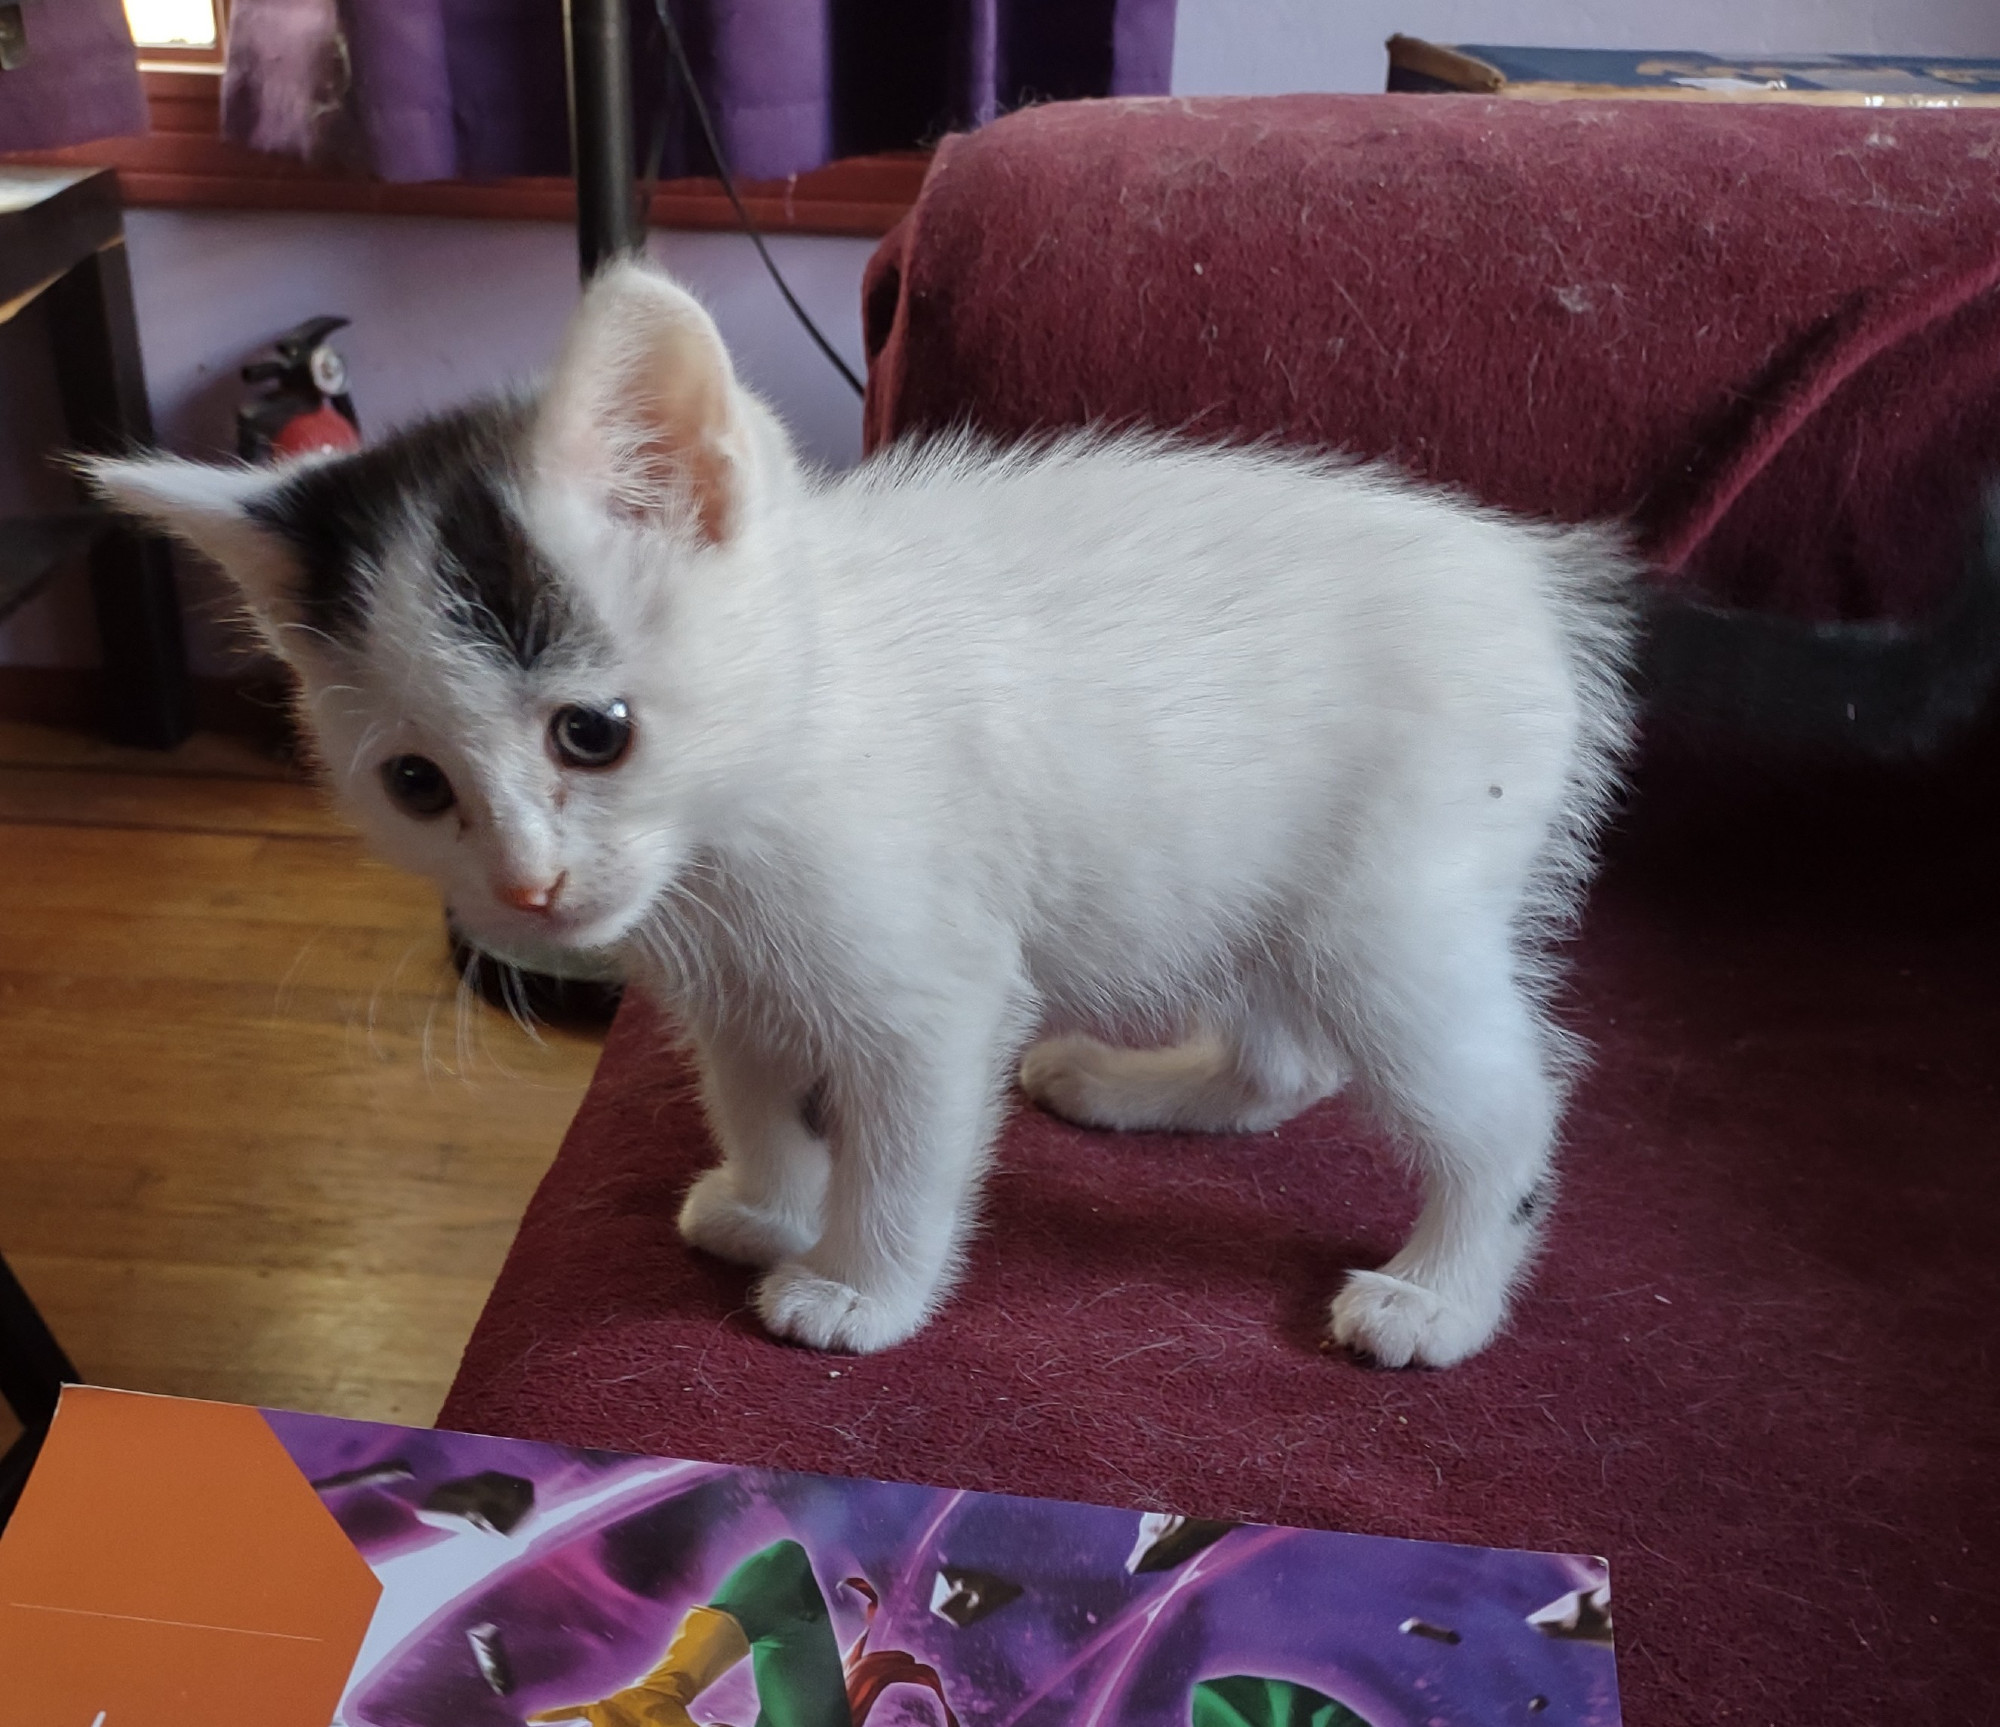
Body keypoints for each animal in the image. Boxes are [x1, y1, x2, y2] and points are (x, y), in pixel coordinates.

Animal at [86, 259, 1632, 1359]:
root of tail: (1532, 583)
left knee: (1504, 1099)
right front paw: (767, 1199)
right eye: (416, 783)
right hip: (1255, 878)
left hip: (1385, 903)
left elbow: (905, 1143)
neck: (762, 781)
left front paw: (854, 1285)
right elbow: (756, 1079)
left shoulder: (930, 986)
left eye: (594, 733)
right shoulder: (721, 976)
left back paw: (1441, 1295)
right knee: (1292, 1060)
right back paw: (1145, 1085)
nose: (528, 890)